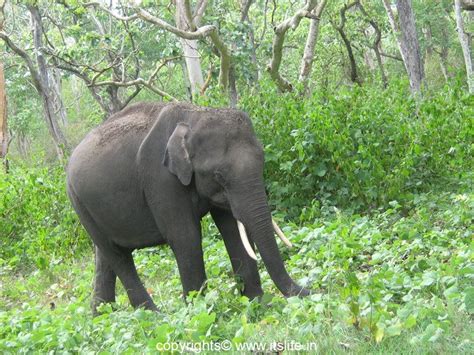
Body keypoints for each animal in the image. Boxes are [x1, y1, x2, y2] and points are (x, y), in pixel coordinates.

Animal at [66, 101, 312, 314]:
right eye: (219, 176)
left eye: (262, 162)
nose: (311, 291)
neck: (194, 115)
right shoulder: (160, 179)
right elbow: (185, 237)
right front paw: (198, 310)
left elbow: (232, 230)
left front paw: (256, 304)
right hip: (78, 203)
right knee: (118, 255)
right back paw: (155, 316)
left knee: (105, 256)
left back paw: (101, 316)